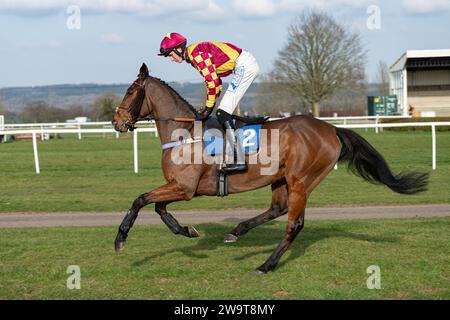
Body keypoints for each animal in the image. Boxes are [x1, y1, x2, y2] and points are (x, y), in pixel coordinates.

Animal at [110, 63, 428, 274]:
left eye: (130, 91)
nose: (117, 122)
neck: (185, 133)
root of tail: (331, 129)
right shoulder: (179, 187)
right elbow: (157, 207)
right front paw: (187, 230)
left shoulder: (184, 188)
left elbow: (140, 200)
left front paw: (120, 239)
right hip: (281, 178)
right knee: (278, 209)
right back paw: (237, 232)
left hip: (301, 180)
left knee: (294, 224)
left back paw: (266, 264)